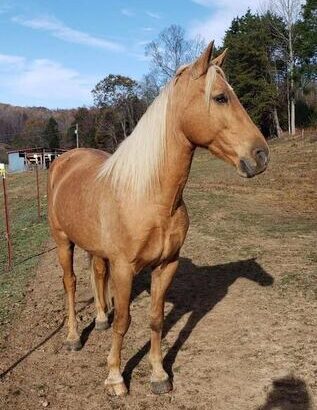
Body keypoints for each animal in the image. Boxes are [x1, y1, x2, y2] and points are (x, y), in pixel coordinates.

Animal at [47, 42, 270, 398]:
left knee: (97, 274)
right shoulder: (125, 269)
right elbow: (124, 321)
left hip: (95, 248)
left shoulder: (166, 265)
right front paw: (115, 378)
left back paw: (99, 319)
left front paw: (158, 375)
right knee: (70, 284)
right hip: (62, 241)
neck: (150, 197)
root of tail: (63, 161)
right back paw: (72, 337)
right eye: (220, 97)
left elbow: (155, 319)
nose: (261, 156)